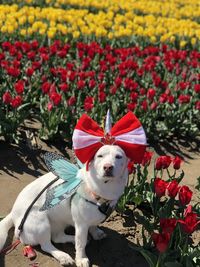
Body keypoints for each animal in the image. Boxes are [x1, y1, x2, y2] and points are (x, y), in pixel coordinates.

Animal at [0, 146, 128, 266]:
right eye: (99, 156)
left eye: (118, 156)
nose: (108, 167)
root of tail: (13, 215)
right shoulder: (81, 224)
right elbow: (80, 244)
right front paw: (81, 259)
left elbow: (93, 225)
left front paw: (96, 232)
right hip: (41, 222)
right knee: (46, 245)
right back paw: (63, 256)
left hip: (59, 222)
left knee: (57, 237)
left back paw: (72, 240)